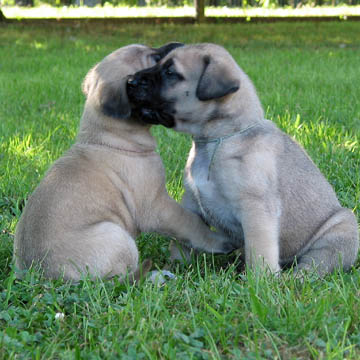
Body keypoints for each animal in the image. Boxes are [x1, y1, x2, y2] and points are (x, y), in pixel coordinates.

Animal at [13, 43, 233, 282]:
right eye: (154, 58)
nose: (177, 45)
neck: (110, 139)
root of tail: (41, 276)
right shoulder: (158, 206)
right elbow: (191, 224)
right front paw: (221, 241)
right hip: (117, 236)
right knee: (124, 280)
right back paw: (157, 276)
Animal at [127, 43, 360, 278]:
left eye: (170, 73)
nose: (130, 80)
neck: (218, 139)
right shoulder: (191, 203)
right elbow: (183, 238)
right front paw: (177, 265)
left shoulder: (255, 210)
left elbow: (259, 252)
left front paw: (259, 281)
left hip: (341, 230)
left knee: (312, 266)